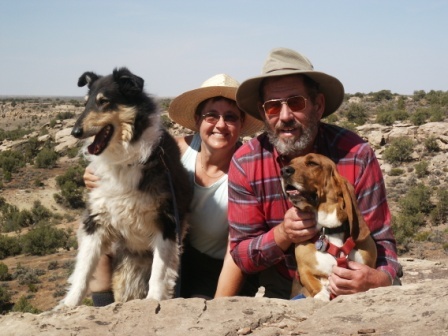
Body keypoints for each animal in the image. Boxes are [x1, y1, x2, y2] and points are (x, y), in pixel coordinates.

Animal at [58, 67, 192, 308]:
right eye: (85, 103)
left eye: (104, 102)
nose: (75, 132)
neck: (125, 158)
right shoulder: (96, 220)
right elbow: (83, 269)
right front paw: (68, 305)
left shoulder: (167, 222)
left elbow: (159, 272)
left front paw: (154, 300)